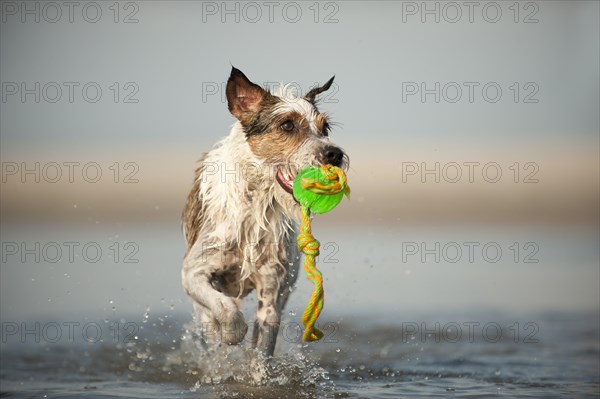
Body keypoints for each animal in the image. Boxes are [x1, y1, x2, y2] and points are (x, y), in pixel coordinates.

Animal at [180, 67, 346, 360]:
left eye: (325, 127)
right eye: (287, 125)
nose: (334, 154)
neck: (256, 204)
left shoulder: (271, 292)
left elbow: (262, 352)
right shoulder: (193, 272)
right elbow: (225, 308)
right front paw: (232, 332)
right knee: (210, 321)